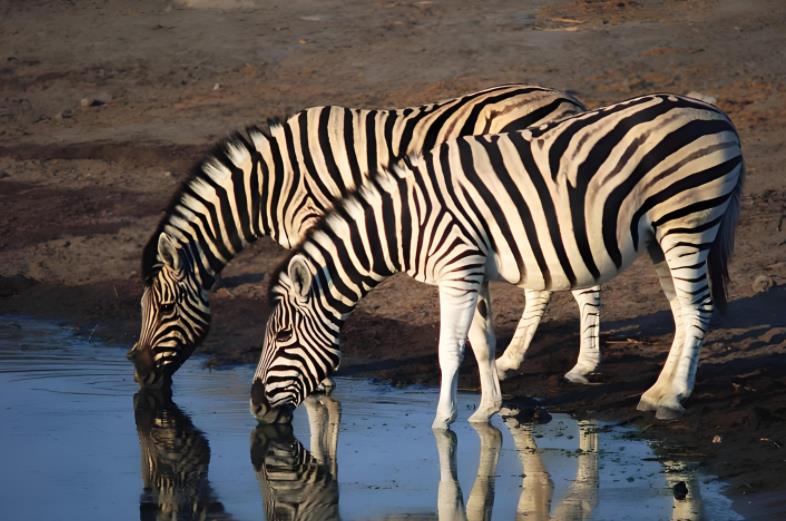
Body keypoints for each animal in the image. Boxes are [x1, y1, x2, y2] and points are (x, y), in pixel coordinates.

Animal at [127, 83, 608, 388]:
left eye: (164, 308)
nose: (139, 372)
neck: (268, 182)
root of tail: (567, 98)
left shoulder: (313, 220)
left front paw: (321, 375)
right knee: (542, 284)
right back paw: (509, 360)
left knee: (581, 282)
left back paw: (583, 367)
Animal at [251, 93, 740, 426]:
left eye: (283, 335)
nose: (254, 404)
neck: (405, 221)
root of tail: (714, 112)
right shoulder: (471, 272)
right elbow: (482, 342)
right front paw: (487, 409)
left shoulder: (457, 270)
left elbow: (450, 349)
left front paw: (442, 422)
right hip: (661, 234)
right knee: (681, 311)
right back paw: (659, 392)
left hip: (687, 220)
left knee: (698, 308)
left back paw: (673, 398)